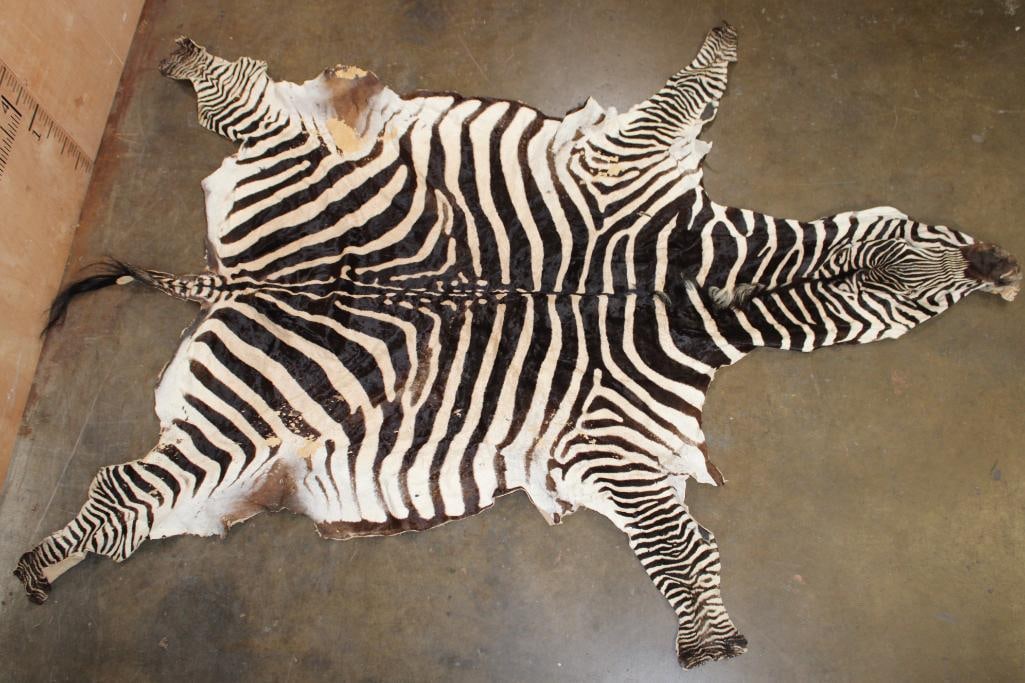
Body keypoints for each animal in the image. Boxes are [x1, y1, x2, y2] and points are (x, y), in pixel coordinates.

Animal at [14, 24, 1019, 669]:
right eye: (925, 245)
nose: (1000, 263)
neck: (697, 288)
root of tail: (240, 280)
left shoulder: (626, 445)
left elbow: (675, 548)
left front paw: (704, 633)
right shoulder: (631, 194)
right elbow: (677, 551)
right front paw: (712, 641)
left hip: (252, 386)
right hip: (257, 382)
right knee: (123, 493)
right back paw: (40, 565)